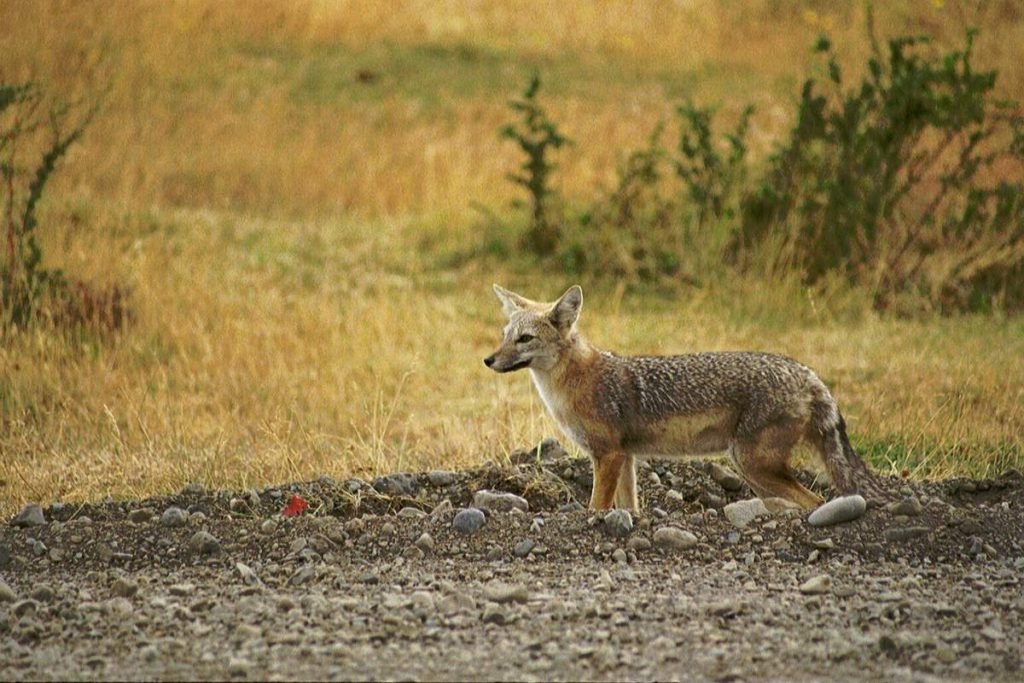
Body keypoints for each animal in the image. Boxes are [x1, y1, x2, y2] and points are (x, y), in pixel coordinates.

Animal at [483, 282, 884, 511]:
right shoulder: (625, 458)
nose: (488, 360)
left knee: (816, 501)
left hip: (753, 464)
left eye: (525, 339)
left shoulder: (607, 456)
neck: (575, 383)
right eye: (504, 336)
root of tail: (807, 372)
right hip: (755, 472)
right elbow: (629, 509)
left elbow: (596, 507)